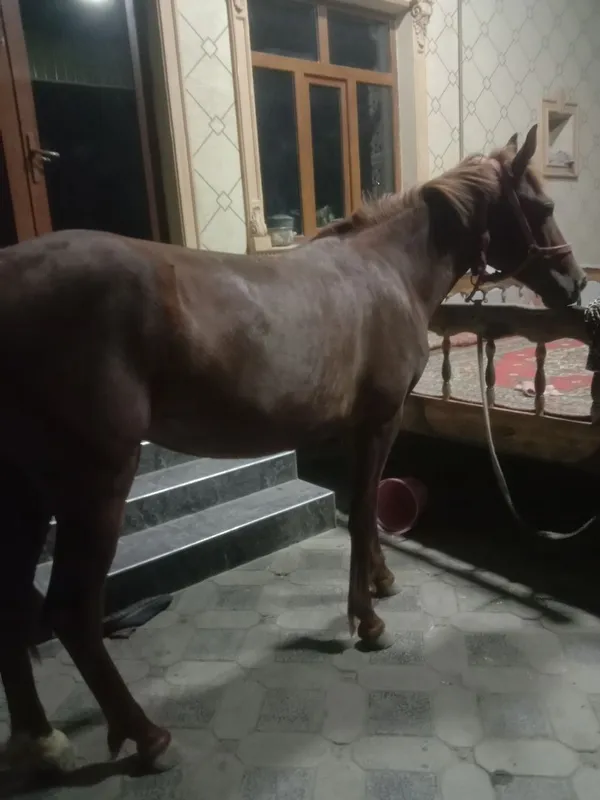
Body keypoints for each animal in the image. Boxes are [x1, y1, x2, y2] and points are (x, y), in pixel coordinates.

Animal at [0, 124, 586, 775]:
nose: (577, 285)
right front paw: (368, 620)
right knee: (71, 612)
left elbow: (366, 514)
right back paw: (146, 736)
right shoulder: (379, 422)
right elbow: (361, 513)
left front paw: (381, 583)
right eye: (543, 208)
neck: (389, 271)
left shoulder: (366, 429)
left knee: (11, 606)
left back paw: (39, 738)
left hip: (24, 492)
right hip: (95, 485)